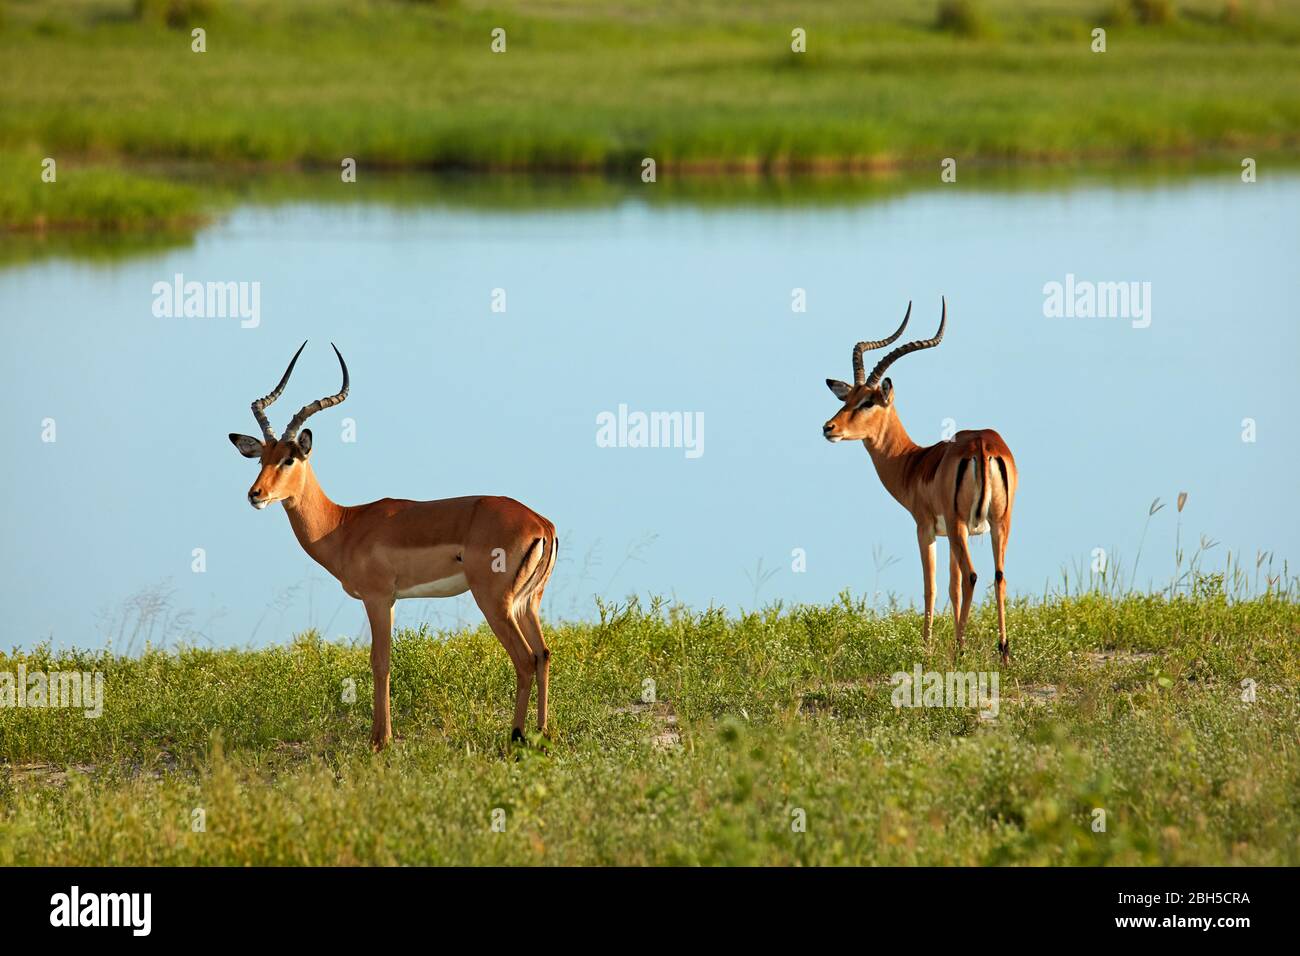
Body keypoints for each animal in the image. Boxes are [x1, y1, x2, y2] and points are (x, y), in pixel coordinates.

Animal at [228, 343, 558, 750]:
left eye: (289, 458)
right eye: (262, 458)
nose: (255, 494)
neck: (343, 525)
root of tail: (541, 523)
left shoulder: (377, 598)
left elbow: (379, 661)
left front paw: (380, 740)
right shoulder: (393, 600)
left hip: (495, 602)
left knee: (525, 659)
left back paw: (516, 737)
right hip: (528, 602)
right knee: (543, 655)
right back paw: (544, 733)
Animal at [822, 300, 1018, 663]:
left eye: (867, 401)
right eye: (848, 397)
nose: (829, 427)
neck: (913, 462)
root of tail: (982, 445)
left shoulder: (926, 528)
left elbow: (933, 587)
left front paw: (926, 649)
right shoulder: (958, 533)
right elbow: (953, 588)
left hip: (958, 525)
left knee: (972, 576)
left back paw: (960, 652)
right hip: (999, 523)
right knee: (998, 576)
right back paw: (1003, 652)